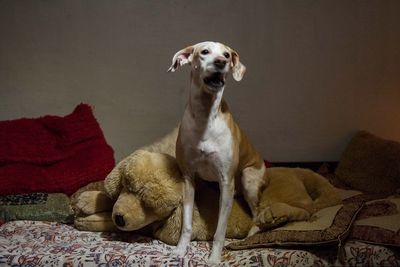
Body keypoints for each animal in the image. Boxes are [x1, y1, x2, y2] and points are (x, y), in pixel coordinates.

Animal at [167, 42, 268, 264]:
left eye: (227, 55)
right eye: (204, 52)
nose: (221, 62)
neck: (205, 116)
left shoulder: (226, 183)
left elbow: (220, 231)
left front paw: (214, 258)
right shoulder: (188, 179)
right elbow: (187, 224)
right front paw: (181, 249)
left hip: (248, 179)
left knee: (258, 214)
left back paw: (248, 238)